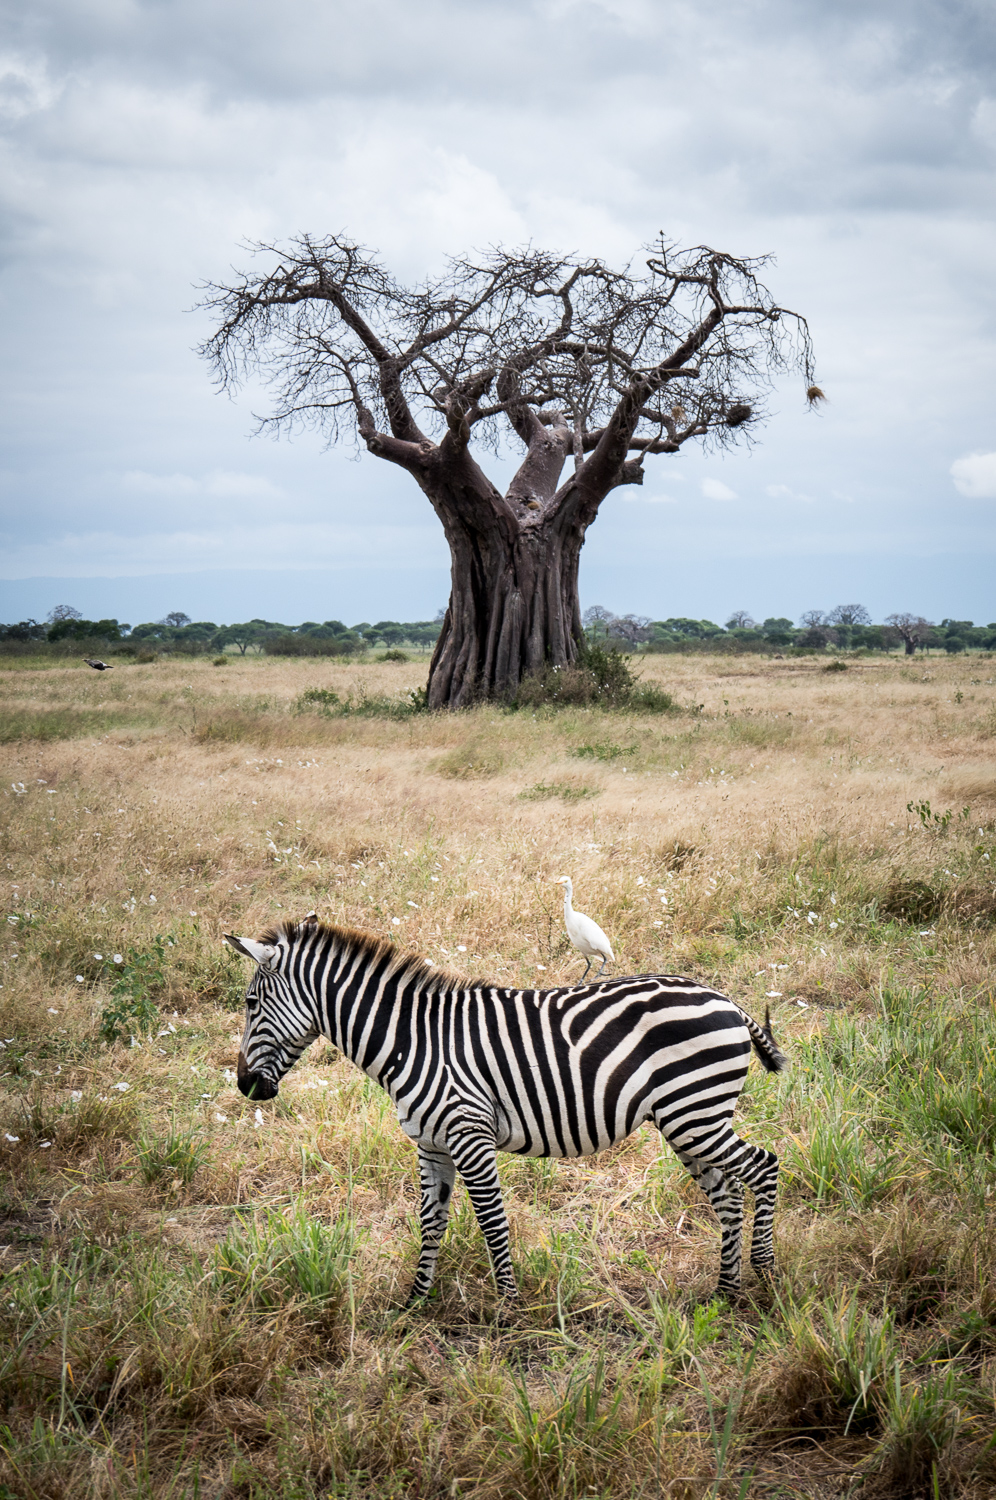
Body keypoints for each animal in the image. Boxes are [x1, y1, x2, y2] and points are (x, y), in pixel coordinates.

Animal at [223, 912, 786, 1302]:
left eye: (249, 1005)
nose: (245, 1085)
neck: (412, 1040)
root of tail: (726, 999)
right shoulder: (431, 1145)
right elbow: (431, 1220)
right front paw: (414, 1303)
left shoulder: (470, 1136)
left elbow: (493, 1222)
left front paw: (509, 1308)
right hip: (686, 1121)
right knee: (728, 1193)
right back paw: (724, 1291)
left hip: (696, 1113)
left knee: (764, 1167)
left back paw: (765, 1271)